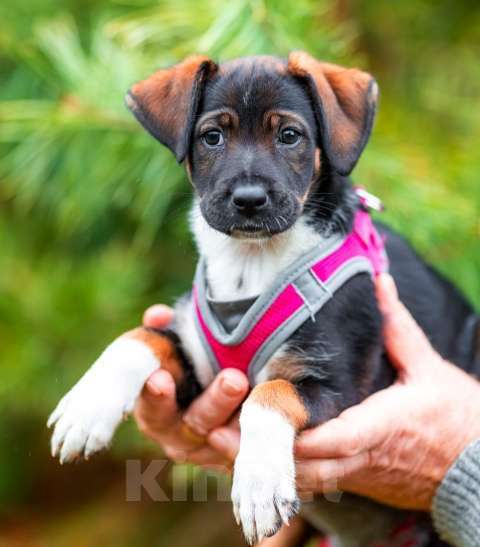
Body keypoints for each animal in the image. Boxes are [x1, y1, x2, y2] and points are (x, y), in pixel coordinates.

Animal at [49, 54, 480, 547]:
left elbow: (268, 393)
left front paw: (258, 486)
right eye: (212, 136)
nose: (249, 200)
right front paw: (85, 408)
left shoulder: (345, 387)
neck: (252, 260)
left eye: (289, 135)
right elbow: (139, 338)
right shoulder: (199, 372)